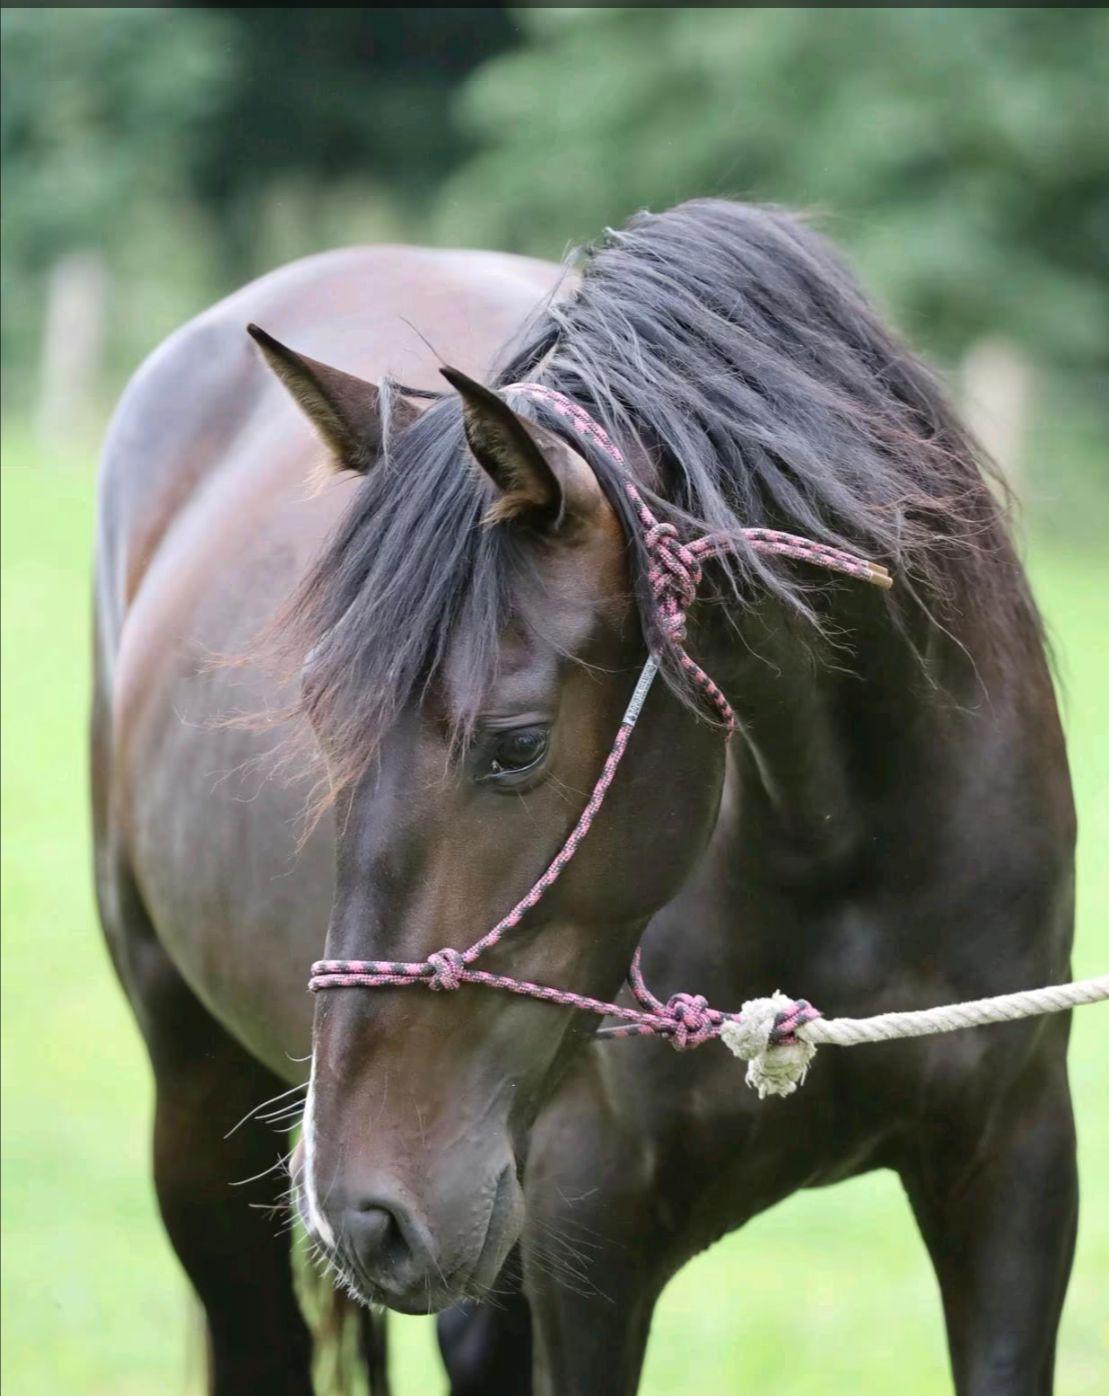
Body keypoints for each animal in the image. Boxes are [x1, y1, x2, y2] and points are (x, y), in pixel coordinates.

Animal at [94, 201, 1078, 1396]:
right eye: (320, 718)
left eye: (516, 746)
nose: (362, 1210)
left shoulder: (1016, 1168)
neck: (845, 854)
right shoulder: (590, 1229)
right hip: (196, 1107)